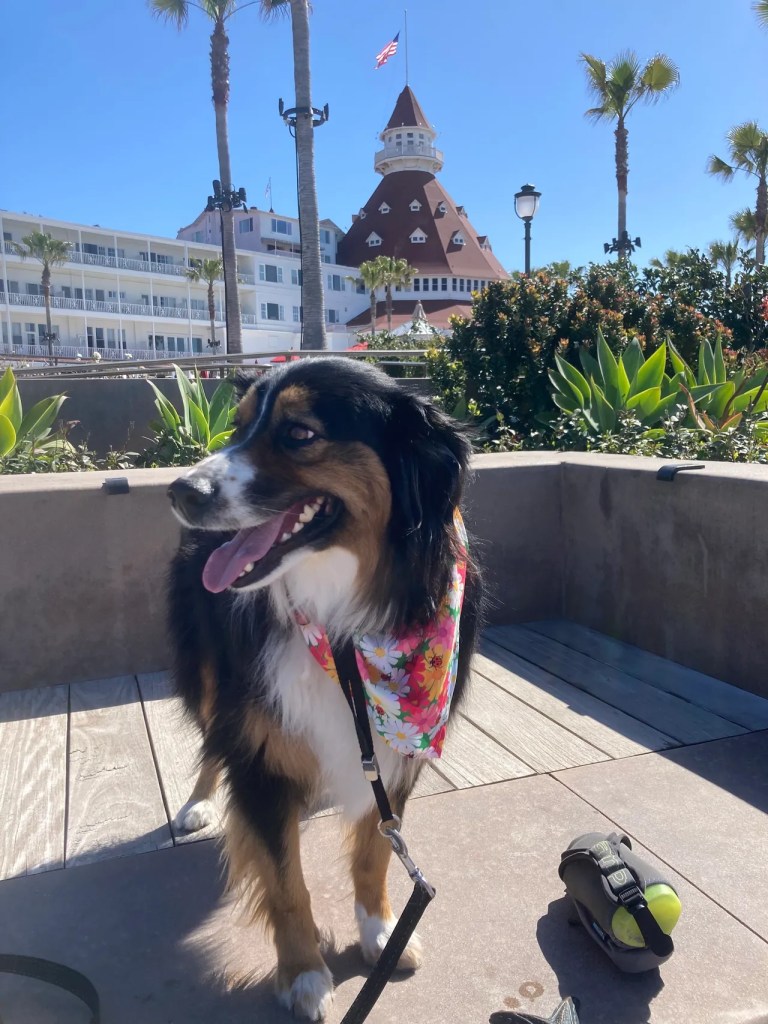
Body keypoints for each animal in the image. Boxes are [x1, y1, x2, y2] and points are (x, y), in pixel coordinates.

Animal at [166, 357, 482, 1021]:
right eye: (237, 427)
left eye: (299, 433)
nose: (180, 491)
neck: (342, 625)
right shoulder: (258, 752)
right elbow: (286, 884)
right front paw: (305, 973)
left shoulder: (394, 751)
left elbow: (376, 850)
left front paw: (382, 932)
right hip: (210, 674)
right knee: (211, 738)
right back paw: (199, 802)